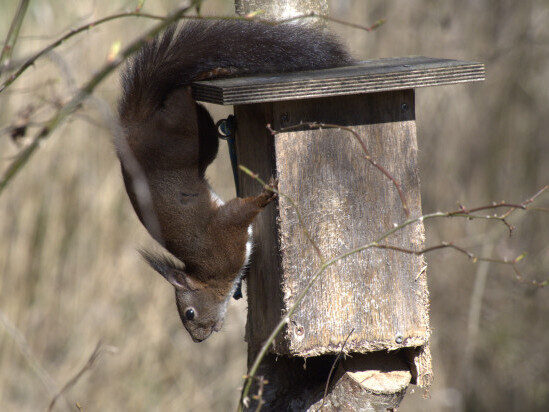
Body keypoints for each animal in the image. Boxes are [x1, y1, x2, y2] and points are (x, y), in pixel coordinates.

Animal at [115, 20, 352, 342]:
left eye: (189, 313)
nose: (199, 338)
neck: (209, 274)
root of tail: (131, 128)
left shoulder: (224, 232)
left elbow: (240, 209)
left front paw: (267, 193)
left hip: (187, 135)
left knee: (182, 96)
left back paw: (204, 76)